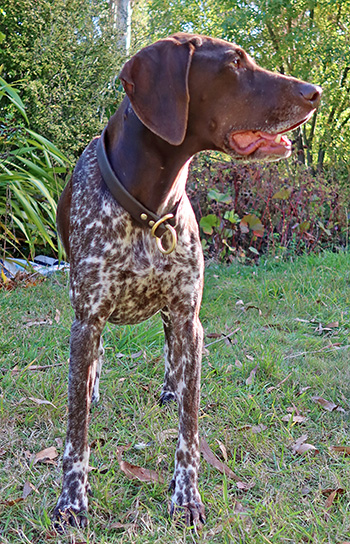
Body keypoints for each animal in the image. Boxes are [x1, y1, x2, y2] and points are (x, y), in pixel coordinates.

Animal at [53, 31, 322, 528]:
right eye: (234, 63)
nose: (315, 92)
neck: (148, 208)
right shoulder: (87, 318)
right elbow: (76, 430)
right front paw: (72, 502)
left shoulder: (186, 316)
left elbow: (189, 428)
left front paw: (187, 497)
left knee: (170, 356)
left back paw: (170, 386)